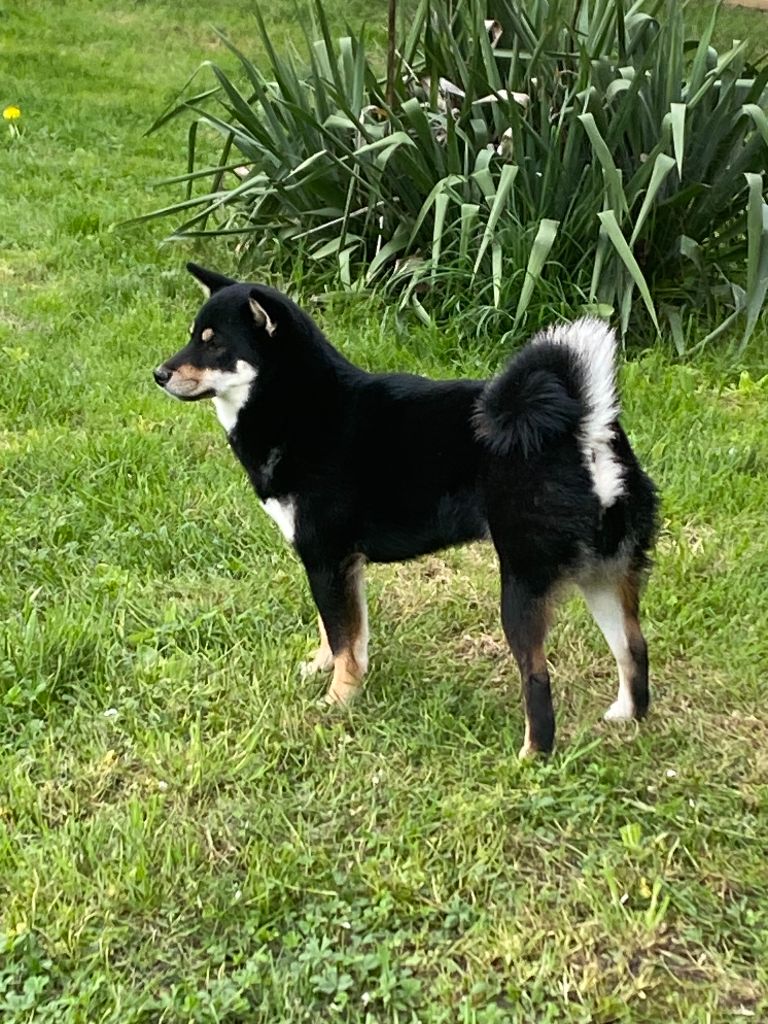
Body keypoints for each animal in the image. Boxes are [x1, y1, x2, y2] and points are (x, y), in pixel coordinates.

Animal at [153, 264, 659, 757]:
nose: (159, 373)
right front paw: (326, 670)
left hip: (521, 583)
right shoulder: (338, 565)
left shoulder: (325, 558)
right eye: (194, 334)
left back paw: (531, 756)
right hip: (603, 576)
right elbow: (342, 634)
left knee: (538, 677)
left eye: (215, 343)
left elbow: (341, 636)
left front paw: (336, 701)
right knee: (634, 648)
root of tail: (585, 429)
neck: (298, 405)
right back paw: (626, 717)